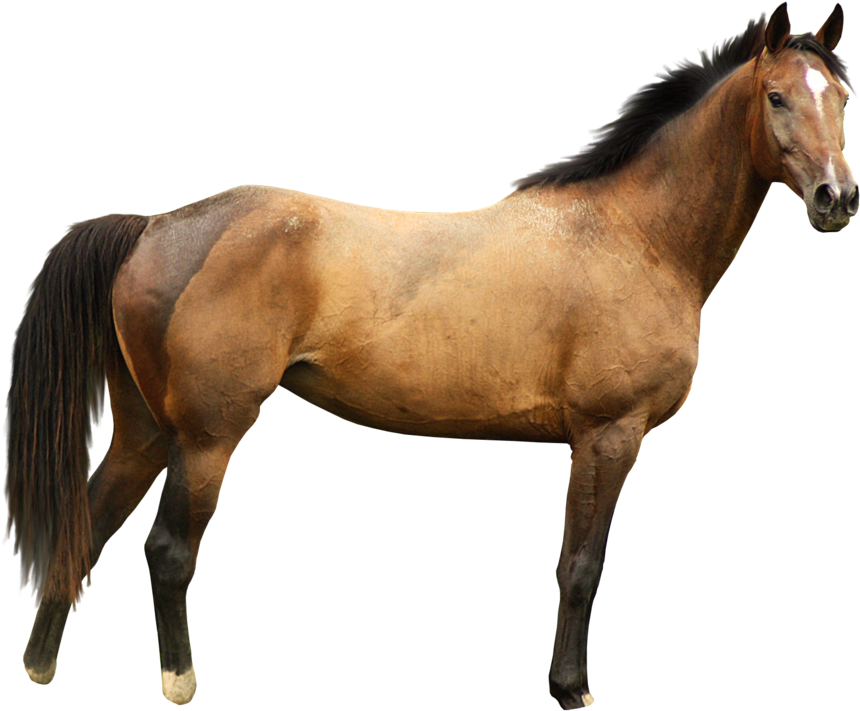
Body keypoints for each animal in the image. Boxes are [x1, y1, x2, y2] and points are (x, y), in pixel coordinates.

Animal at [3, 3, 854, 708]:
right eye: (777, 97)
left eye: (842, 98)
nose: (836, 198)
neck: (631, 235)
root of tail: (154, 226)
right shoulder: (608, 435)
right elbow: (580, 566)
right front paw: (570, 688)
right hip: (207, 438)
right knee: (169, 550)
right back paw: (179, 681)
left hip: (146, 430)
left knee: (90, 522)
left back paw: (41, 663)